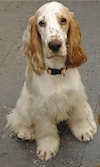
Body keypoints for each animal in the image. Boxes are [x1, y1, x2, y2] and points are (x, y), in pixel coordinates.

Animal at [7, 1, 97, 160]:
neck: (56, 73)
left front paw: (84, 130)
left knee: (87, 109)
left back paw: (92, 125)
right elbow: (46, 130)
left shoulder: (76, 96)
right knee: (16, 118)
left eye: (64, 20)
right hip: (24, 104)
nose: (55, 45)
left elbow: (79, 116)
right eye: (41, 23)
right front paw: (47, 148)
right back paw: (26, 132)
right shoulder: (41, 107)